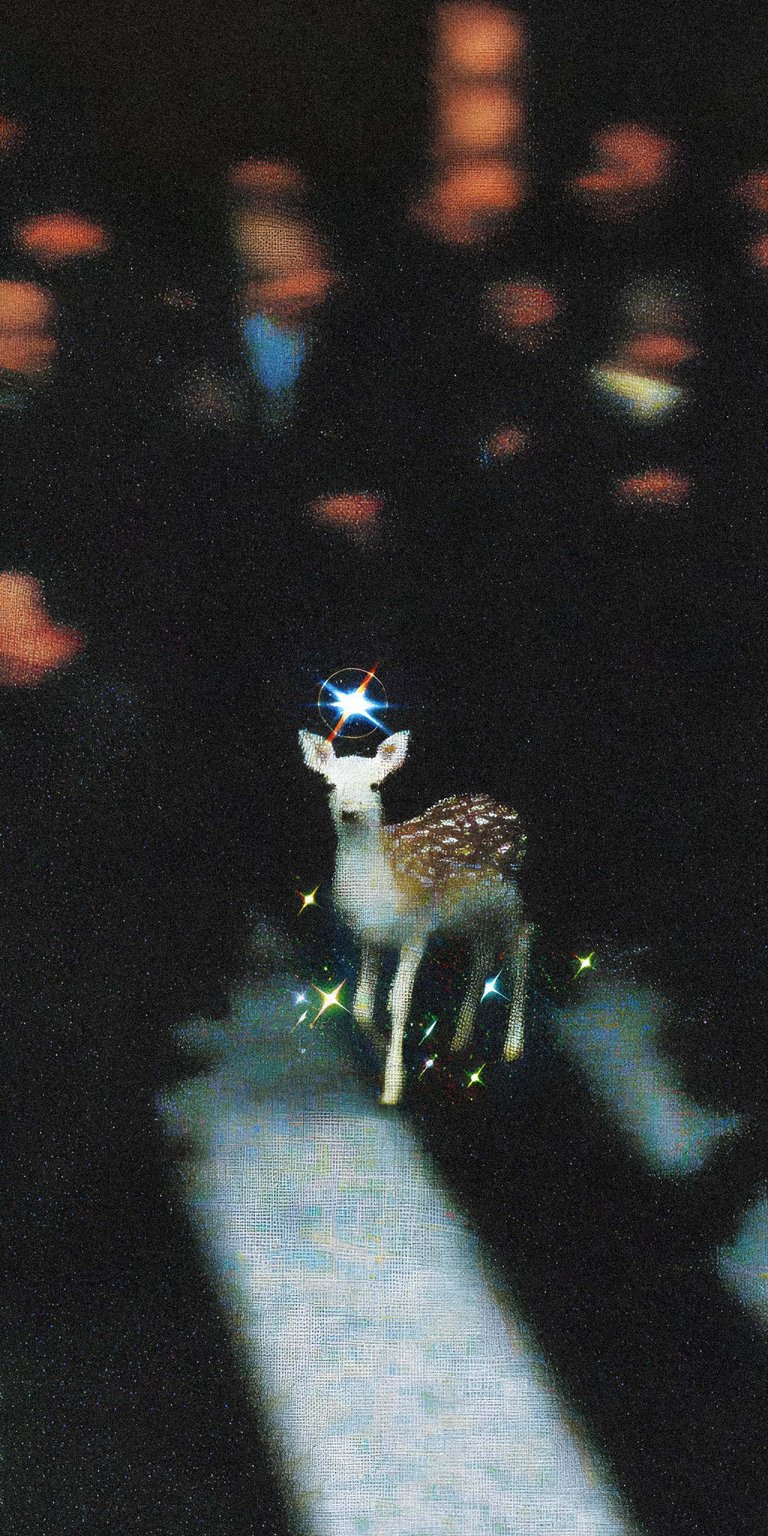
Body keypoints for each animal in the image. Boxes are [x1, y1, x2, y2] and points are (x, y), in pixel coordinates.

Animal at [299, 729, 533, 1105]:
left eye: (375, 785)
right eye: (331, 784)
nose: (350, 811)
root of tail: (507, 808)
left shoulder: (417, 929)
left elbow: (398, 1003)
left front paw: (394, 1086)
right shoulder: (372, 934)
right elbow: (362, 1005)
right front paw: (386, 1055)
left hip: (508, 896)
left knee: (523, 939)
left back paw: (512, 1046)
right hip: (471, 911)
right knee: (482, 954)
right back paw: (459, 1039)